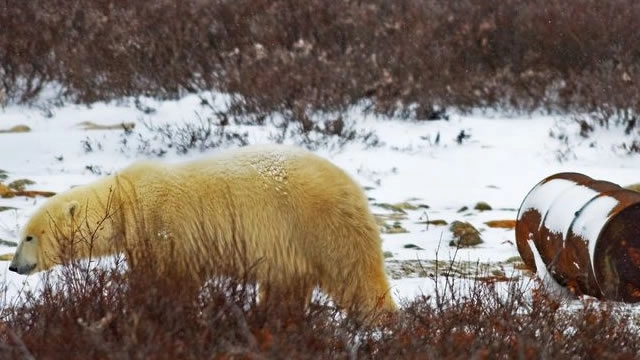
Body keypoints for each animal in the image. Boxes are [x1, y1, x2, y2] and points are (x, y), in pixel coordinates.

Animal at [10, 145, 398, 320]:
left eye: (29, 236)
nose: (14, 266)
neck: (125, 201)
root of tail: (353, 187)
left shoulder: (162, 227)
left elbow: (168, 279)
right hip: (290, 245)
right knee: (286, 286)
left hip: (319, 226)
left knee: (354, 274)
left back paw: (378, 320)